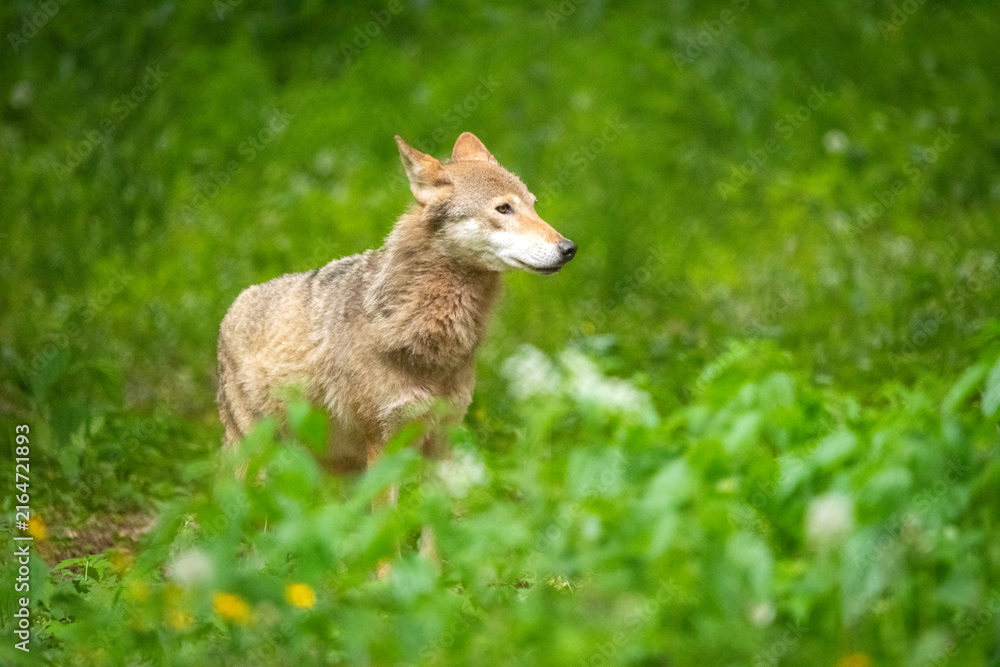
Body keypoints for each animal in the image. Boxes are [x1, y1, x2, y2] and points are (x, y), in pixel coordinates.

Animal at [216, 132, 575, 537]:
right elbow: (386, 535)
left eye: (533, 206)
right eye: (503, 209)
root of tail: (232, 307)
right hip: (258, 460)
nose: (569, 248)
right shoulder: (382, 447)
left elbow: (434, 532)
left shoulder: (441, 443)